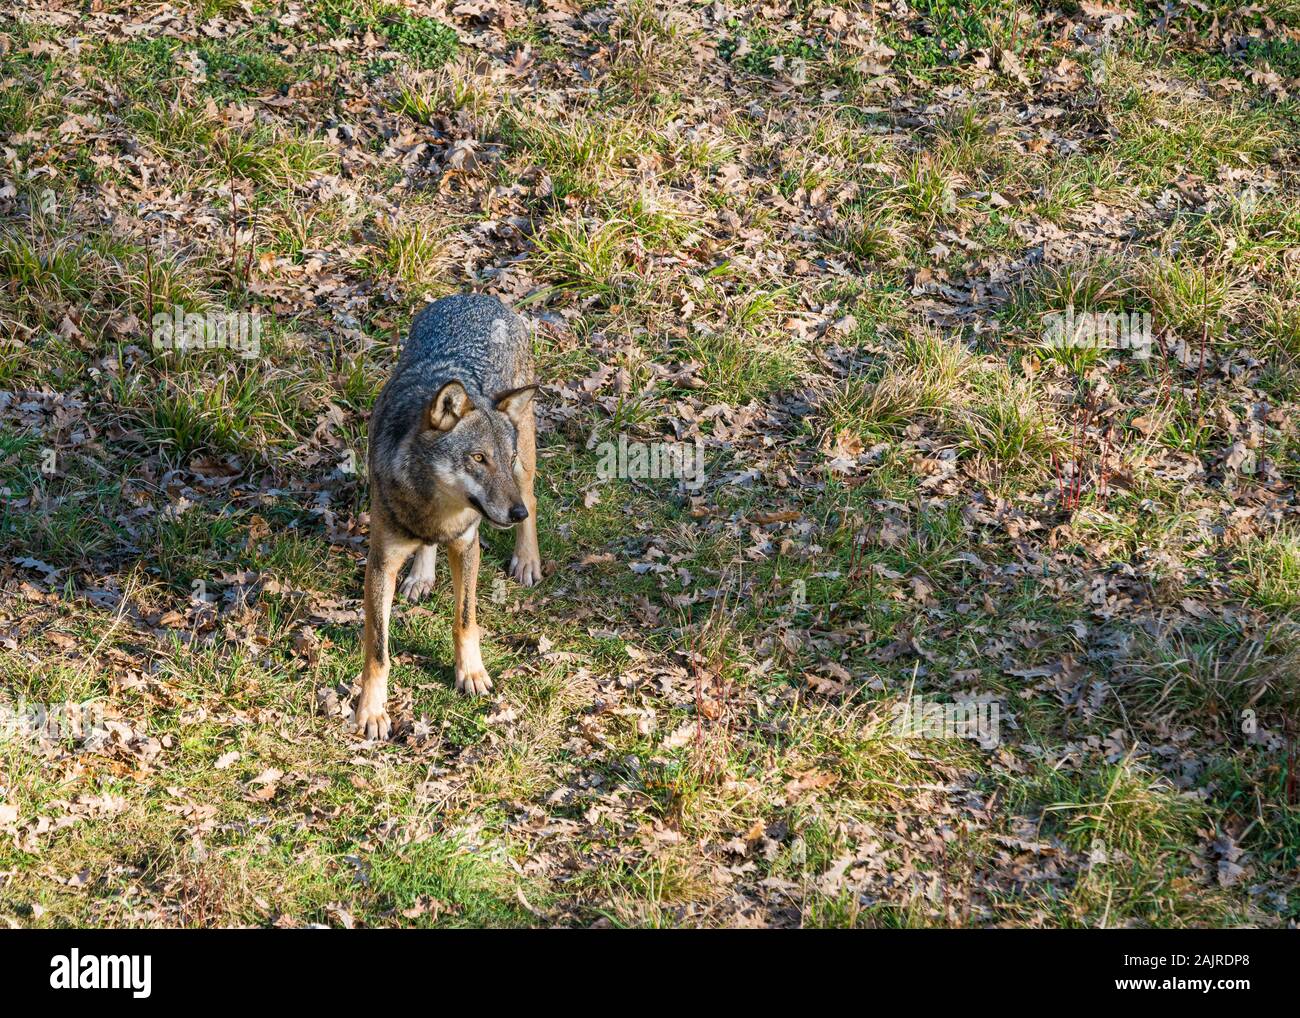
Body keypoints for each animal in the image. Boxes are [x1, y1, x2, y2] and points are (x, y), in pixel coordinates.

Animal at [356, 294, 540, 739]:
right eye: (478, 458)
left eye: (502, 458)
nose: (514, 512)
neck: (436, 509)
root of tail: (477, 296)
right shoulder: (380, 563)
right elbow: (378, 651)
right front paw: (372, 711)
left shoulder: (467, 544)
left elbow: (465, 619)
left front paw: (470, 674)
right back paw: (421, 576)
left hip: (526, 468)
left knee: (536, 499)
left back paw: (527, 560)